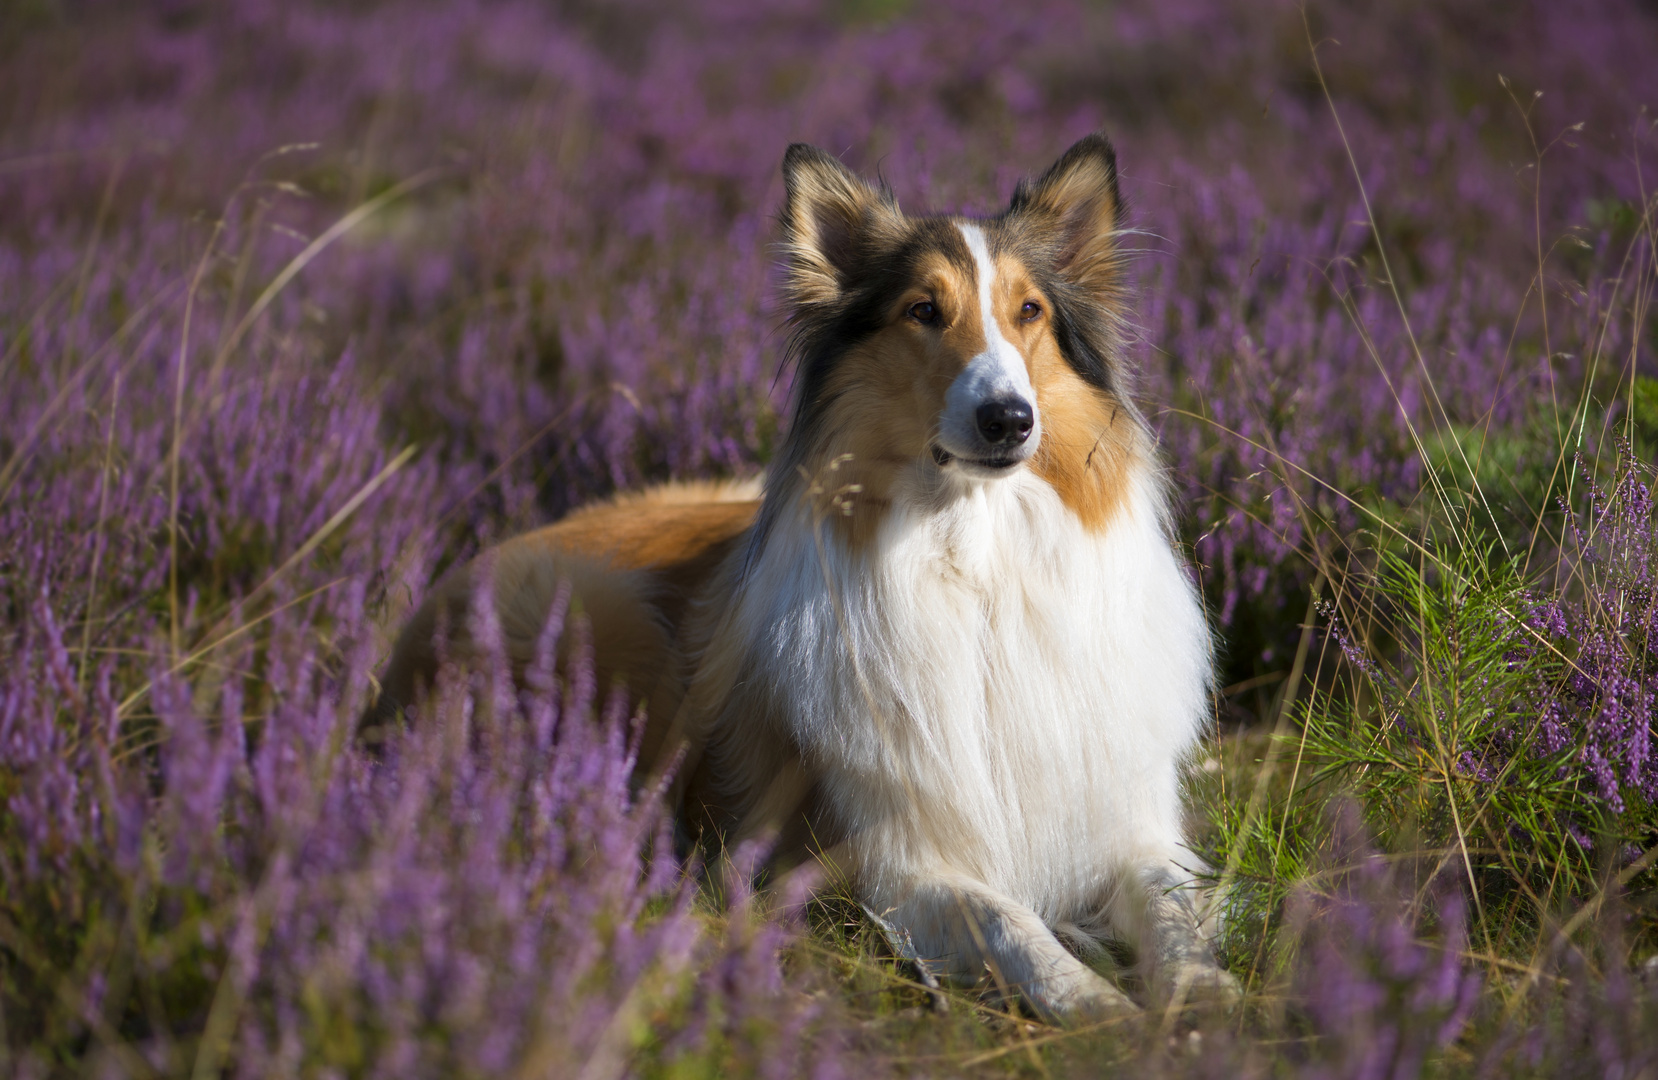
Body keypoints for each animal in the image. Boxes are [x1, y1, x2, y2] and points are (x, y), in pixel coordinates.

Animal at [369, 135, 1240, 1021]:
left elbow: (1170, 906)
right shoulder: (891, 858)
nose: (1008, 420)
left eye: (1029, 311)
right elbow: (1008, 920)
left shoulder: (1131, 824)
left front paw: (1204, 992)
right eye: (923, 311)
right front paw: (1094, 1003)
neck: (978, 561)